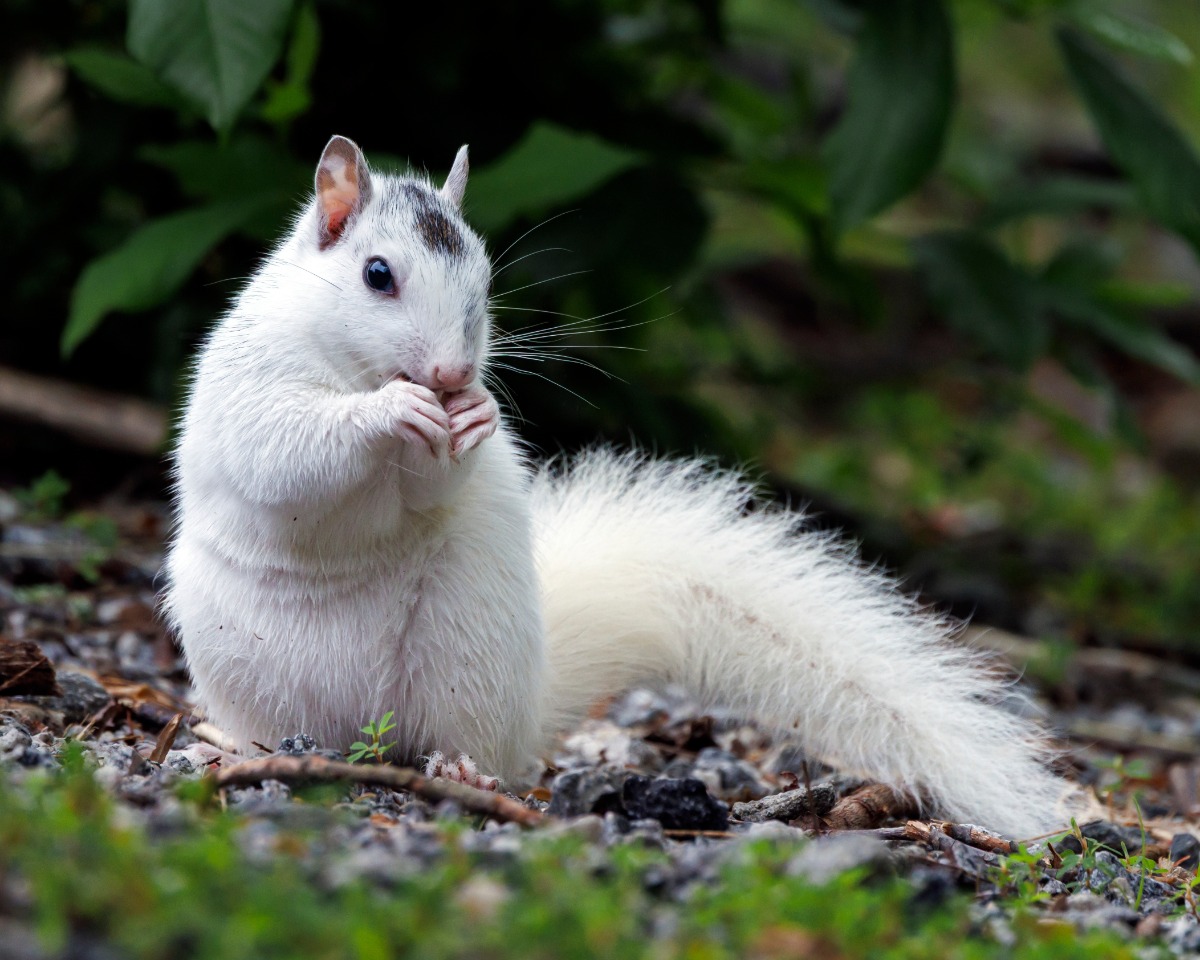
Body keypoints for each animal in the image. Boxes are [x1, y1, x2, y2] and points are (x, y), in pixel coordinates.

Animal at [164, 135, 1070, 837]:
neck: (355, 367)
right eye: (377, 274)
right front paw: (389, 411)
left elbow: (428, 489)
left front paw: (473, 417)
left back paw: (465, 771)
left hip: (466, 654)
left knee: (464, 742)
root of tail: (358, 734)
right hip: (243, 664)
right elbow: (288, 454)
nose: (454, 374)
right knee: (269, 722)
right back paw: (229, 745)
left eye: (484, 285)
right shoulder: (253, 391)